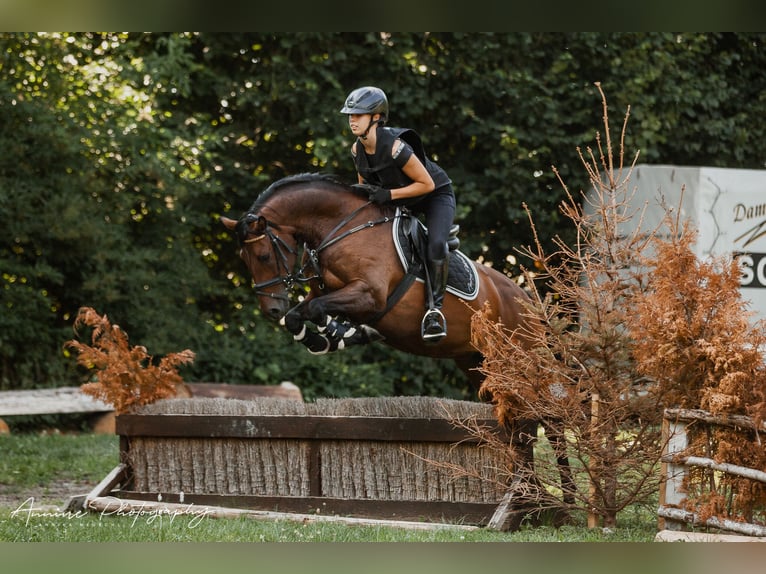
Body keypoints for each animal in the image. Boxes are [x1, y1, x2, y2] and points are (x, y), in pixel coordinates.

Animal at [222, 173, 576, 520]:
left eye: (263, 255)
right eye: (243, 258)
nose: (271, 310)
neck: (340, 228)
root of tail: (525, 297)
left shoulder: (369, 295)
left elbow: (317, 309)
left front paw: (343, 333)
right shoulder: (325, 294)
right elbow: (302, 313)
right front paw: (327, 338)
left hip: (517, 357)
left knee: (548, 418)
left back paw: (559, 500)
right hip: (480, 365)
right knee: (521, 421)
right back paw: (535, 497)